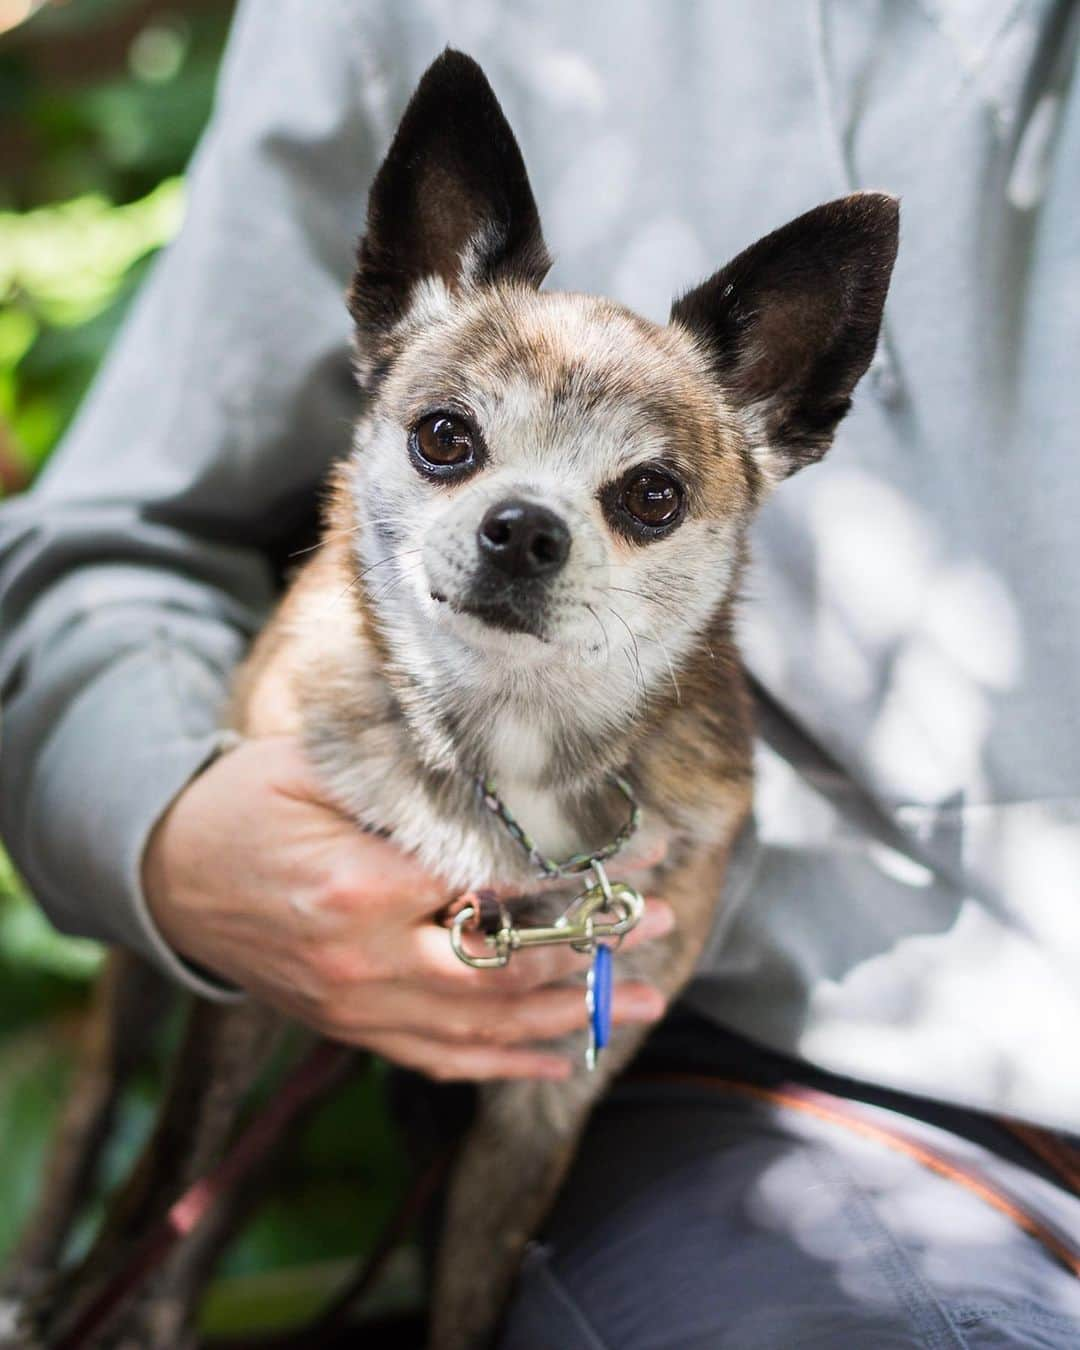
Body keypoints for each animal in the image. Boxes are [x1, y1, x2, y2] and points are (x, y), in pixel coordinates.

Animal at [12, 47, 896, 1350]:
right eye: (444, 438)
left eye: (652, 497)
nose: (524, 526)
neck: (503, 755)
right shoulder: (246, 997)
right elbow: (164, 1229)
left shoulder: (543, 1101)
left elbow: (467, 1298)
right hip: (156, 983)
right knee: (108, 1155)